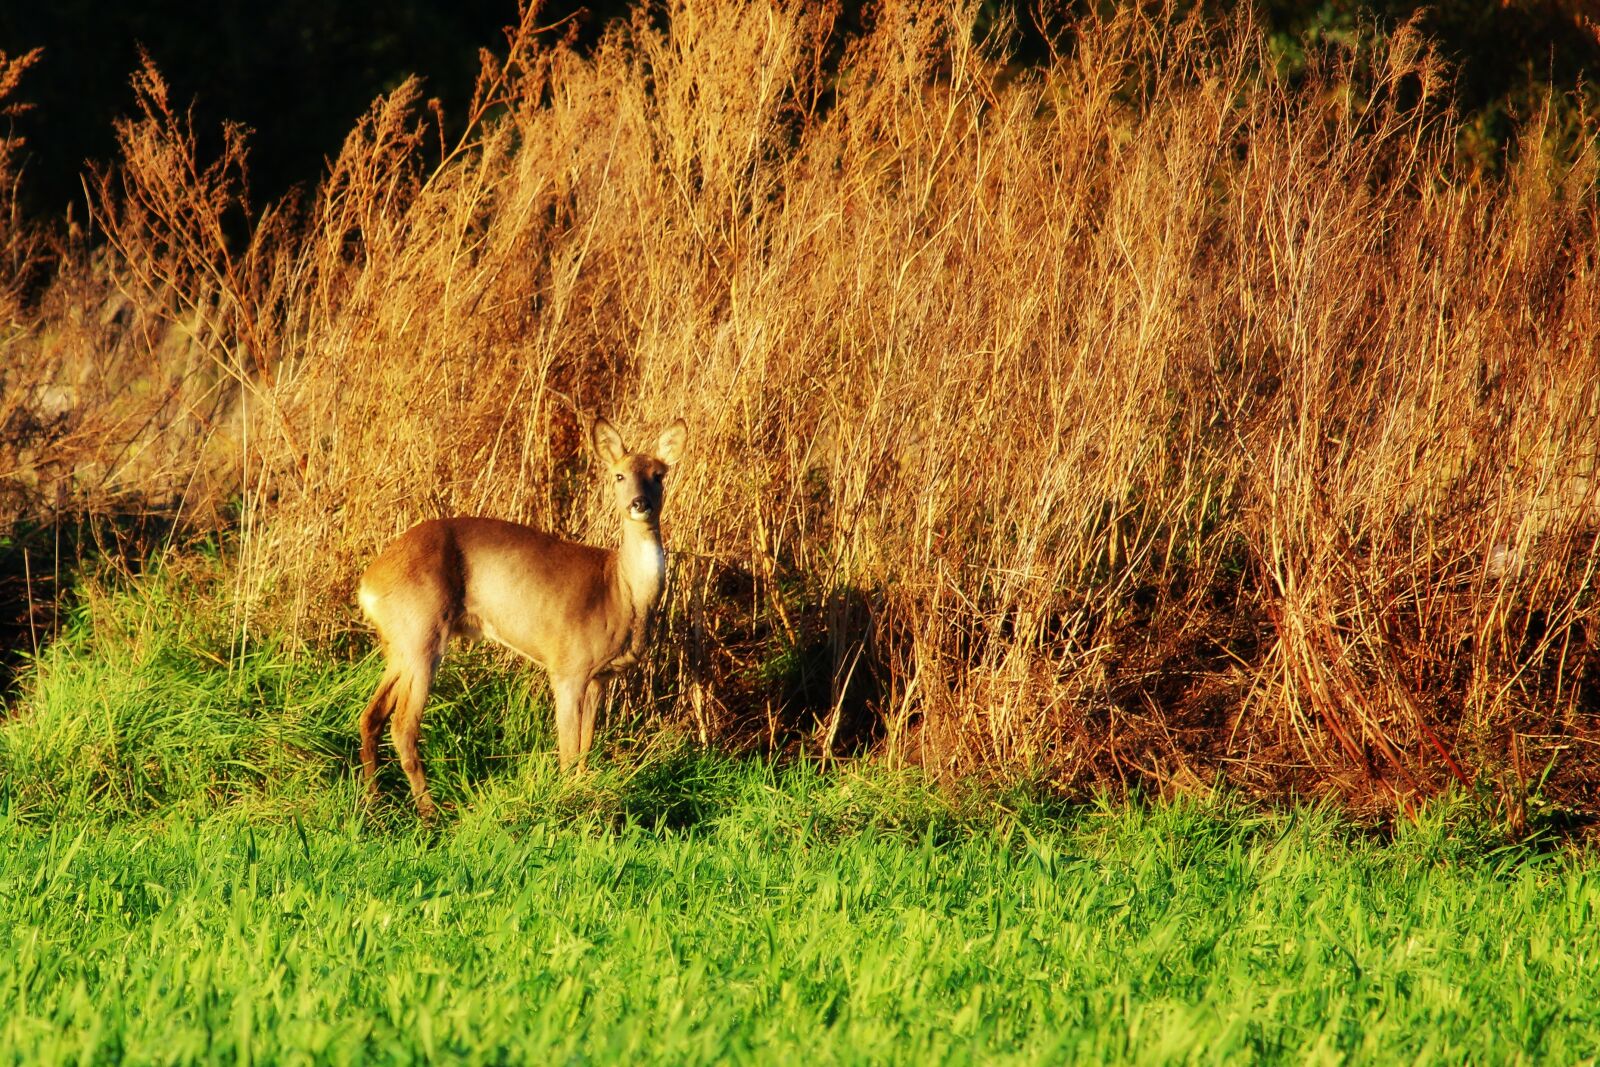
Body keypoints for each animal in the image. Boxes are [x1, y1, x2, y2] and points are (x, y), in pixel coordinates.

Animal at [356, 416, 688, 818]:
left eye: (659, 474)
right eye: (619, 475)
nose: (640, 503)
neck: (620, 590)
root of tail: (368, 583)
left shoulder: (600, 677)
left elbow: (585, 748)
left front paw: (584, 791)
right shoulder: (568, 667)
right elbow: (568, 751)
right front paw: (568, 805)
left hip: (398, 645)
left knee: (371, 716)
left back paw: (374, 803)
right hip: (422, 634)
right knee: (403, 725)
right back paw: (430, 814)